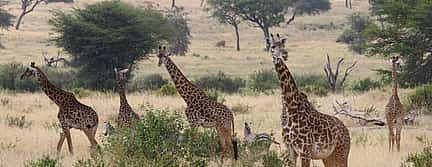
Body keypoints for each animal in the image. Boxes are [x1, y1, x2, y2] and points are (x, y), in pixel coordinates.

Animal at [270, 33, 352, 166]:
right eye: (272, 46)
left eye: (283, 45)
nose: (285, 54)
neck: (290, 105)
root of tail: (346, 130)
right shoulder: (290, 148)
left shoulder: (305, 150)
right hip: (328, 157)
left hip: (342, 153)